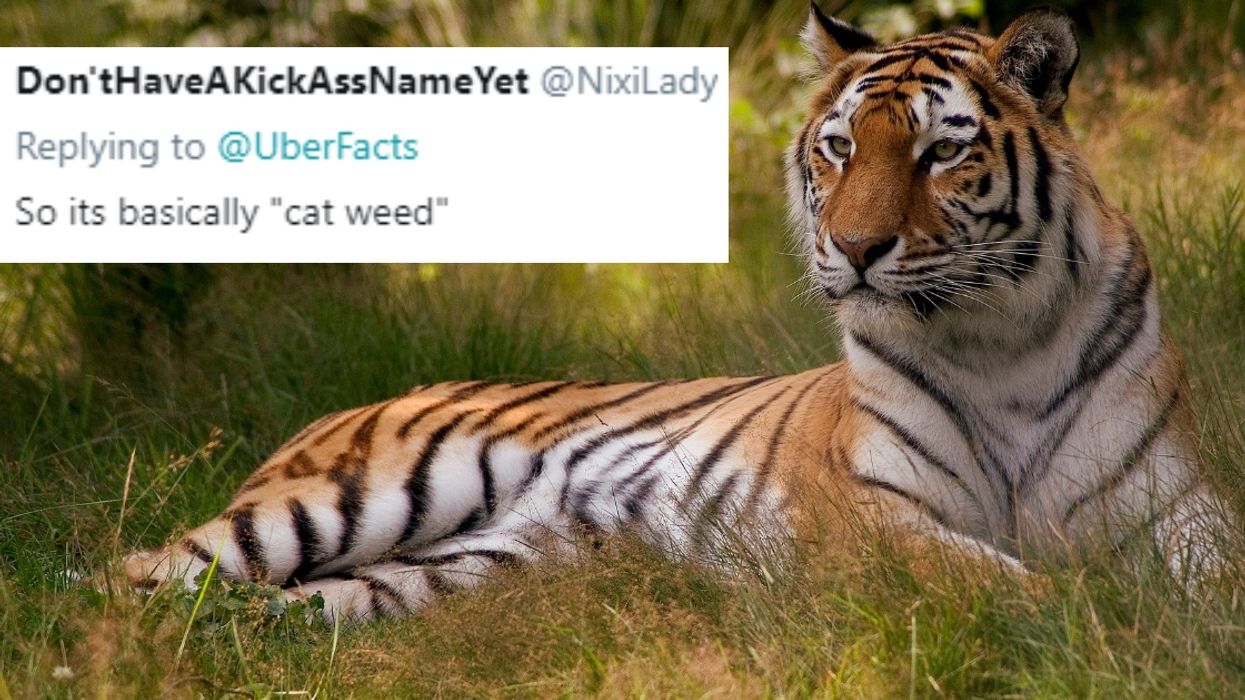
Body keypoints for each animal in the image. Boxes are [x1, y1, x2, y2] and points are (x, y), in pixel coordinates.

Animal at [121, 6, 1234, 621]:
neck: (998, 333)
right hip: (338, 500)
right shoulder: (869, 514)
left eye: (940, 151)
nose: (854, 247)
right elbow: (1008, 583)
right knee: (135, 576)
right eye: (839, 148)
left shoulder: (1178, 504)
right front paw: (1107, 619)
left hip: (442, 574)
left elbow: (1215, 574)